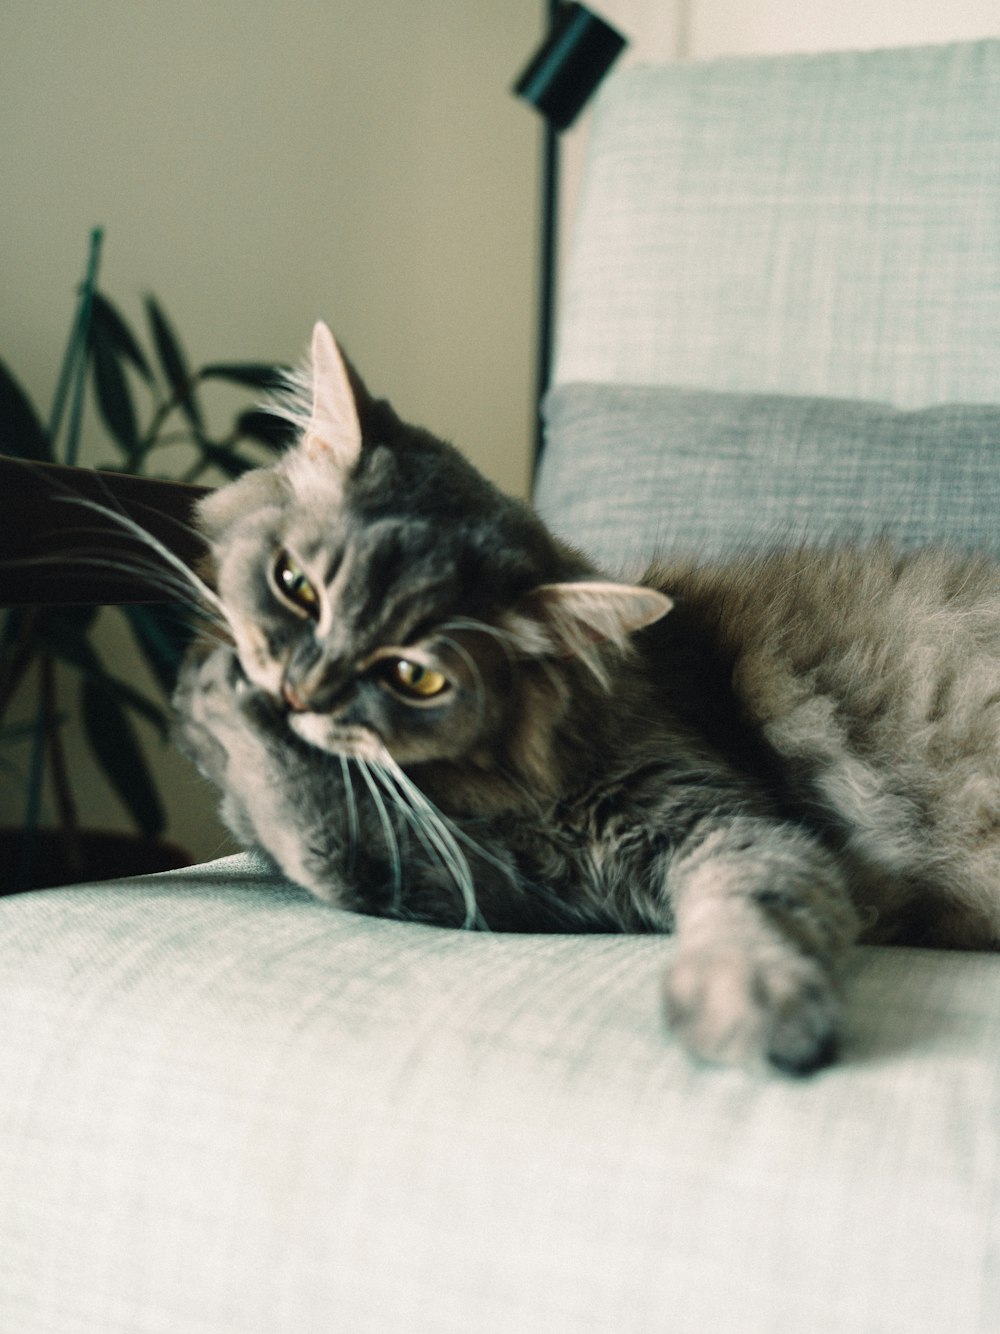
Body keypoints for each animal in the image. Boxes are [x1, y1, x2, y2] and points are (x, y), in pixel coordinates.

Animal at [172, 322, 1000, 1072]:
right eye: (295, 585)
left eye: (416, 678)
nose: (298, 689)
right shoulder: (523, 888)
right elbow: (337, 846)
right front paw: (219, 720)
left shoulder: (728, 818)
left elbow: (754, 907)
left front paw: (749, 1008)